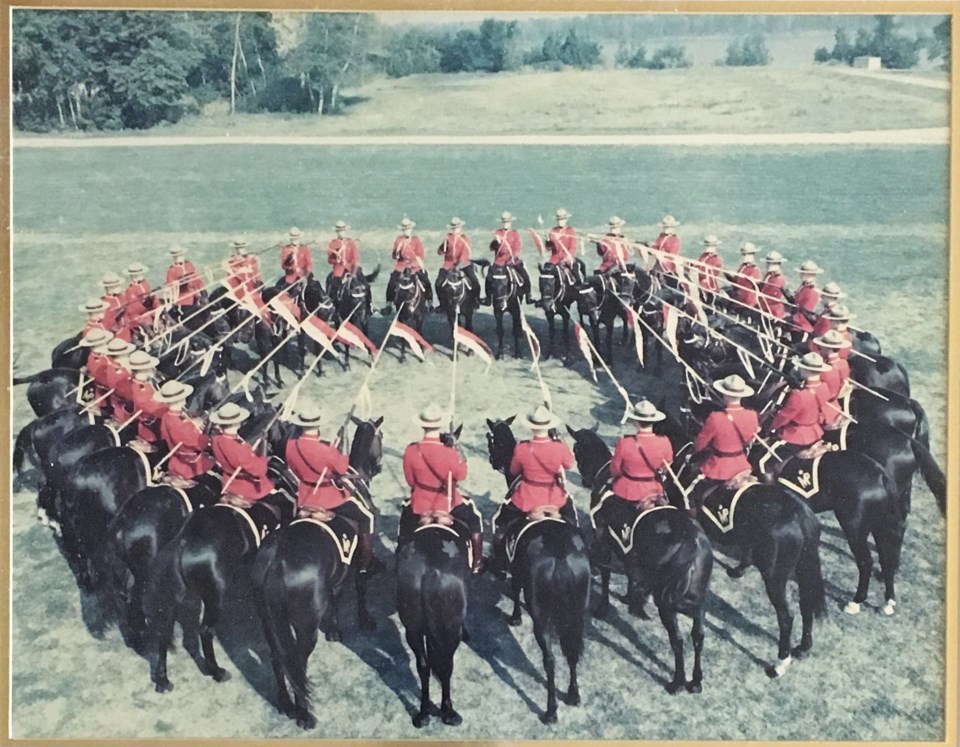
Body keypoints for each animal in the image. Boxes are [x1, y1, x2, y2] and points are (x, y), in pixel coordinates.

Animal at [488, 418, 592, 720]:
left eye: (491, 440)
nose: (493, 461)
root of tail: (561, 558)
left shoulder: (516, 568)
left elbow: (514, 589)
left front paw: (514, 616)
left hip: (543, 618)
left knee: (550, 659)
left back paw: (550, 710)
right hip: (576, 614)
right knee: (572, 651)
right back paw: (573, 695)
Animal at [568, 426, 716, 696]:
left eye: (575, 449)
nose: (584, 480)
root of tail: (695, 545)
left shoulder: (603, 539)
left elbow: (606, 573)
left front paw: (604, 606)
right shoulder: (631, 553)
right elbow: (630, 572)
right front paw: (631, 599)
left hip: (667, 604)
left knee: (678, 639)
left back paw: (677, 681)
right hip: (698, 601)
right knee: (698, 635)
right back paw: (696, 680)